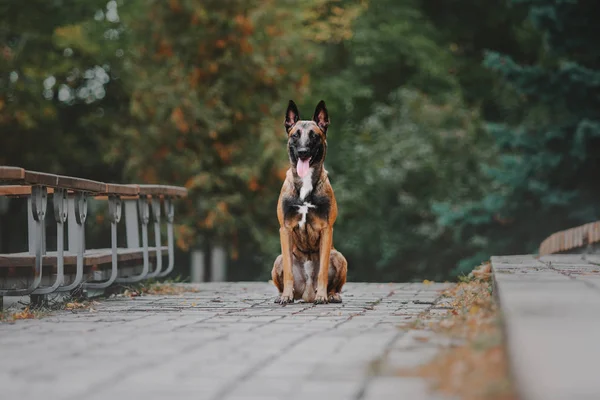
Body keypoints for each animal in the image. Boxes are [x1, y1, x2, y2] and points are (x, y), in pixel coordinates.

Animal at [272, 100, 346, 304]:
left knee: (335, 284)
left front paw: (323, 296)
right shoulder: (285, 229)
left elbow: (322, 271)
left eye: (314, 136)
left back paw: (331, 294)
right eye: (295, 135)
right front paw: (286, 296)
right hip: (277, 260)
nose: (303, 152)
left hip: (339, 256)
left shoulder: (327, 229)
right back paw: (283, 295)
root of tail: (306, 294)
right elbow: (289, 271)